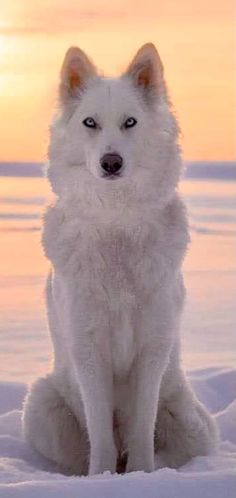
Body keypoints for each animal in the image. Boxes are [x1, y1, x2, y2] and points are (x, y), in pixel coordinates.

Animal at [23, 44, 218, 476]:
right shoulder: (88, 348)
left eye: (130, 122)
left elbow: (142, 427)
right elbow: (101, 434)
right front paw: (103, 479)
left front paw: (141, 476)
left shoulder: (152, 348)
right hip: (43, 406)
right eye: (90, 123)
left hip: (189, 422)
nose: (110, 163)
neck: (117, 222)